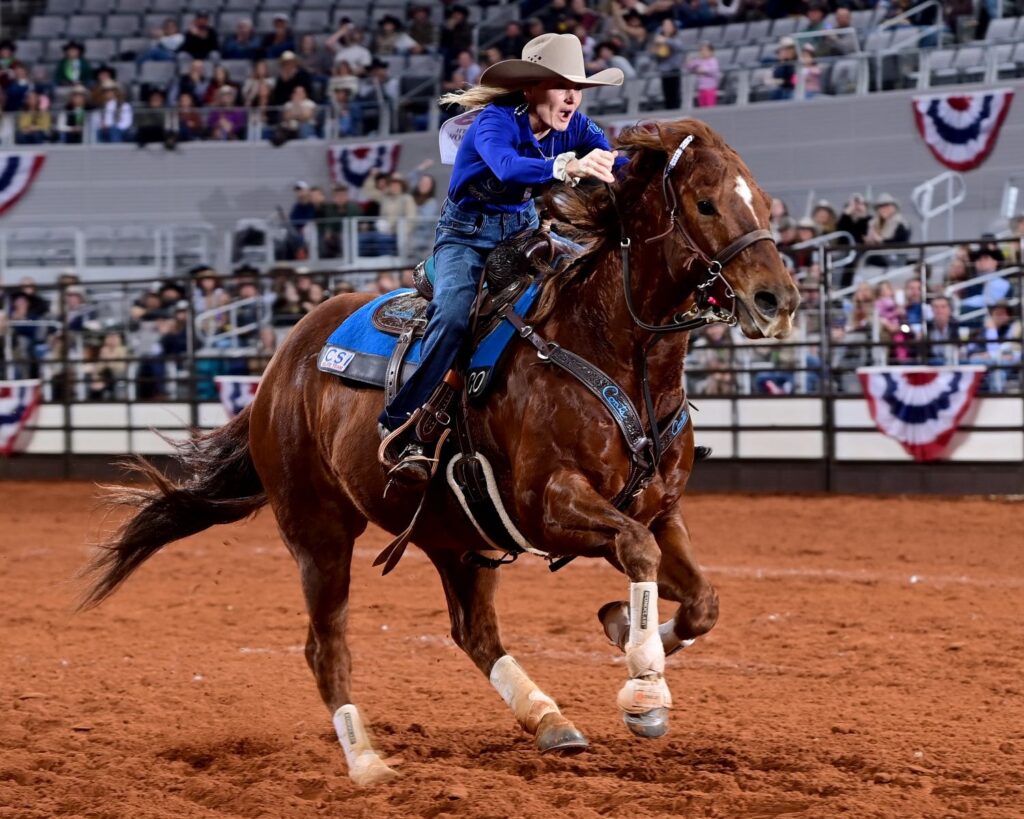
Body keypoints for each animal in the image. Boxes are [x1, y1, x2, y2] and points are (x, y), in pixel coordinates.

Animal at [79, 116, 798, 786]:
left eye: (764, 201)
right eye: (705, 203)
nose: (778, 299)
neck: (608, 348)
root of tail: (280, 365)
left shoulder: (658, 508)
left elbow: (702, 599)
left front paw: (622, 628)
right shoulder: (550, 504)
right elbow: (638, 551)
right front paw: (644, 687)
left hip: (459, 537)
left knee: (474, 633)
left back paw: (550, 720)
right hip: (319, 531)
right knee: (326, 646)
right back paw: (368, 762)